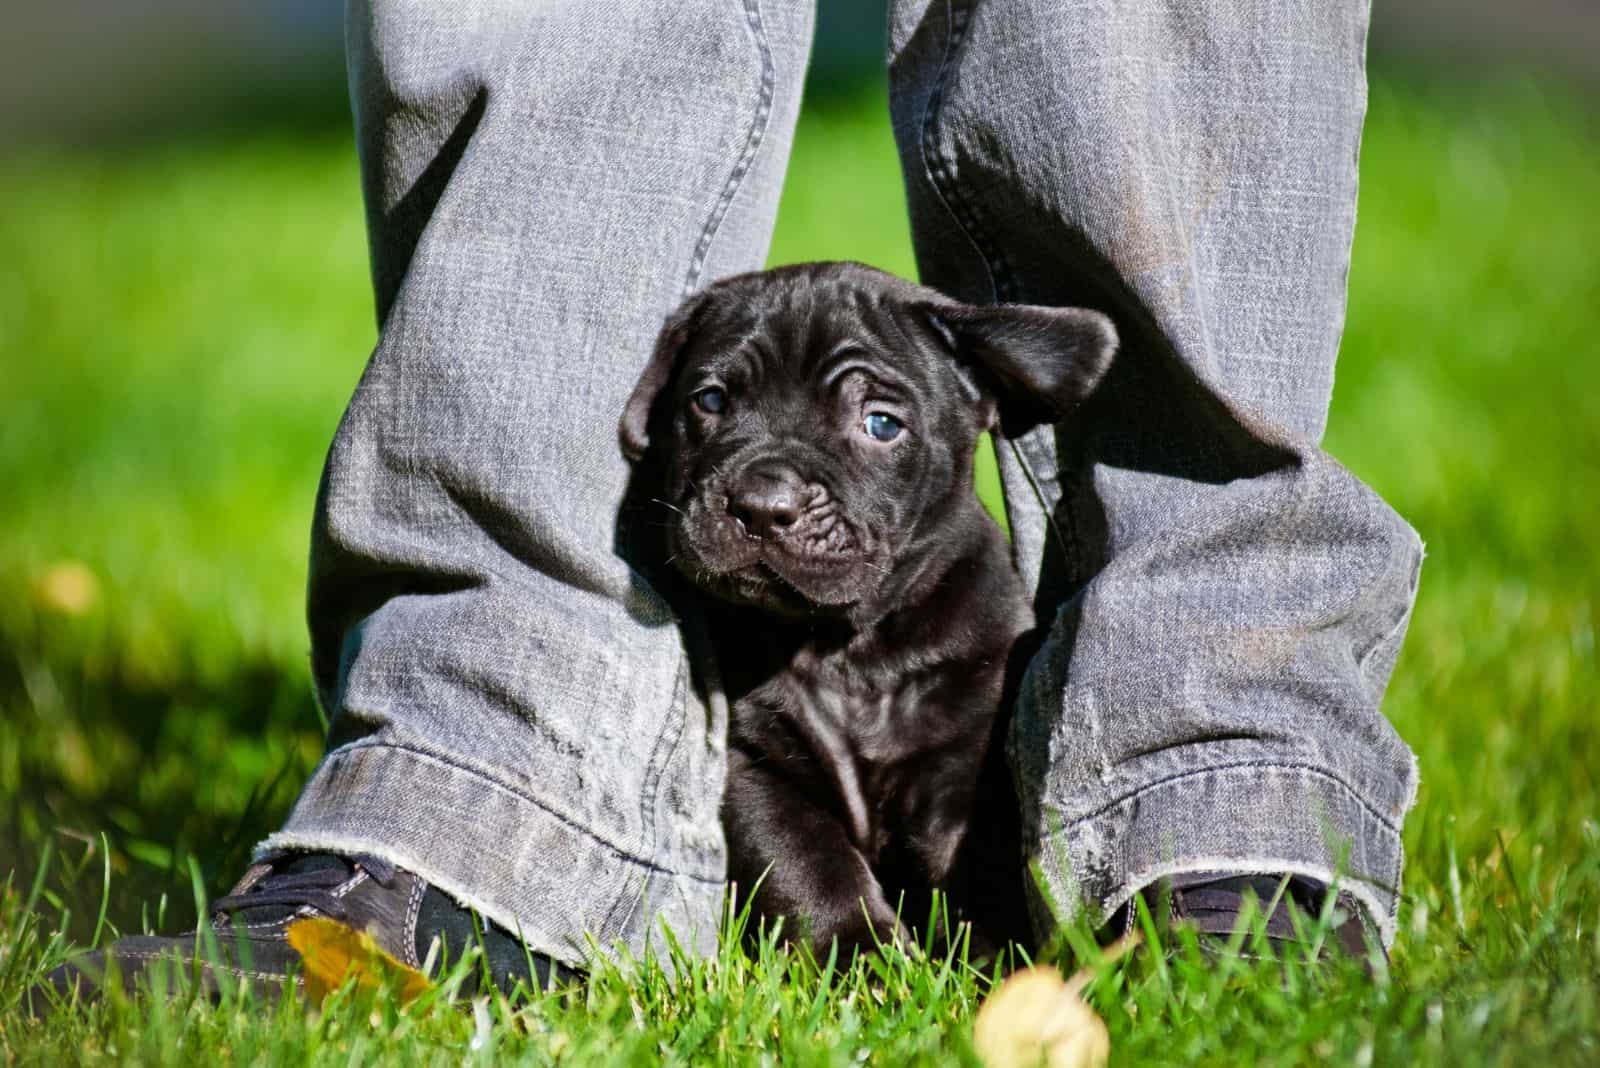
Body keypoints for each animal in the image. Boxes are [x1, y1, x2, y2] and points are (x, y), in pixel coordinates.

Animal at [614, 260, 1113, 959]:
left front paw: (988, 964)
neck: (849, 646)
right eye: (710, 402)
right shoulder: (755, 768)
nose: (762, 504)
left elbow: (976, 872)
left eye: (880, 425)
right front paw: (862, 957)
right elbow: (808, 866)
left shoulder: (966, 770)